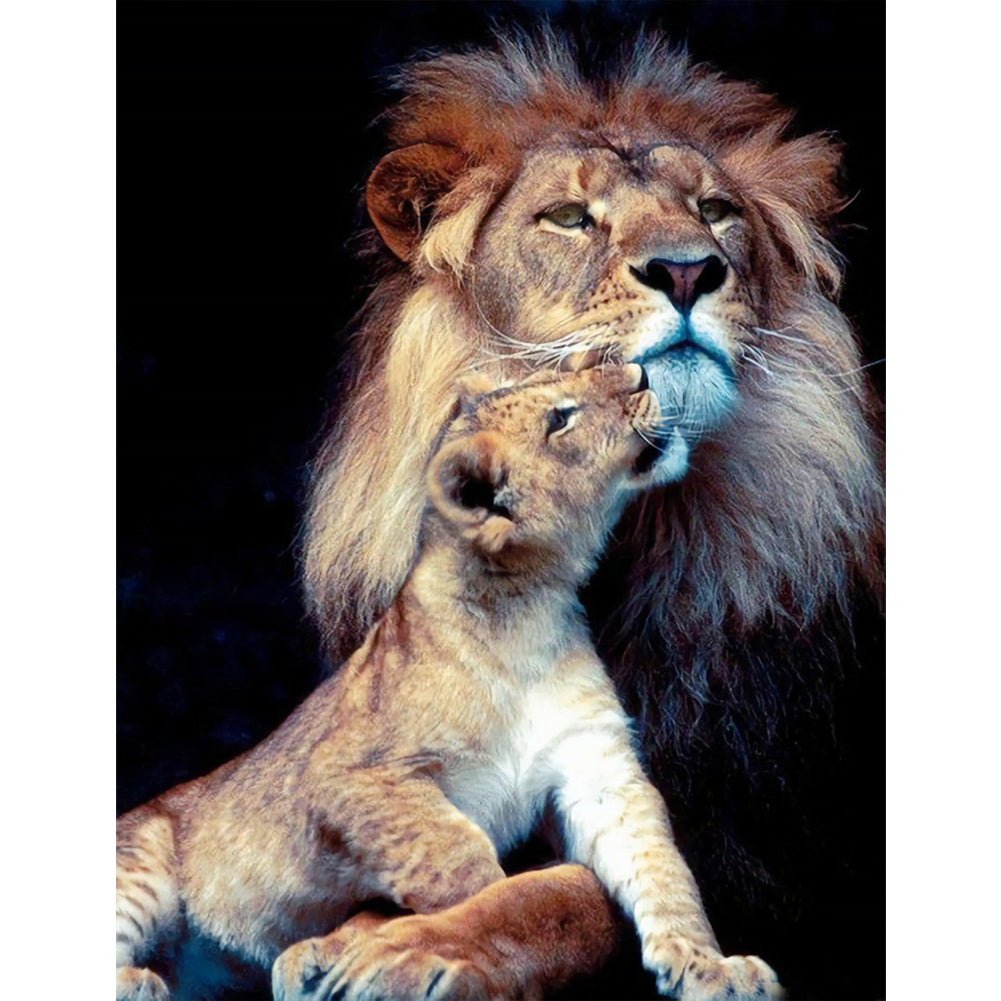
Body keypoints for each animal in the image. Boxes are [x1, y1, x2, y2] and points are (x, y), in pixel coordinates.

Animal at [118, 365, 781, 1001]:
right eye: (559, 418)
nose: (642, 372)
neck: (526, 612)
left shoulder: (597, 770)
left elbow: (662, 869)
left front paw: (709, 967)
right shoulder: (345, 776)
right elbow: (464, 860)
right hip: (143, 869)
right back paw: (140, 981)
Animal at [299, 30, 884, 1001]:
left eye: (714, 210)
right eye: (570, 218)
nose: (687, 267)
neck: (616, 523)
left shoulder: (747, 847)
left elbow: (566, 891)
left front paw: (411, 950)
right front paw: (345, 932)